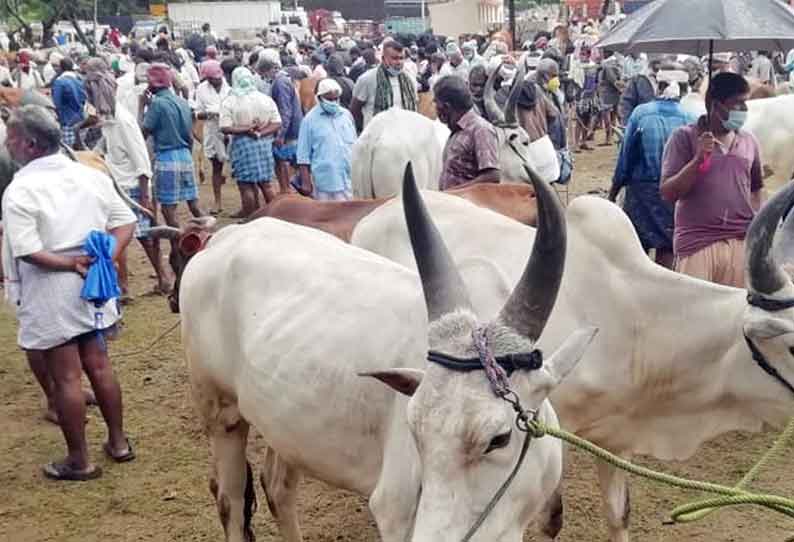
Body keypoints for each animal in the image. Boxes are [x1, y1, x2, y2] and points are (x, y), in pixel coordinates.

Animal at [178, 169, 592, 540]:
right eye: (414, 430)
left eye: (500, 438)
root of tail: (224, 237)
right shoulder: (394, 510)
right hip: (219, 412)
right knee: (230, 500)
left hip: (284, 424)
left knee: (278, 487)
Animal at [350, 175, 792, 542]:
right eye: (790, 346)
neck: (633, 314)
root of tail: (375, 213)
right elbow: (551, 519)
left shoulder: (615, 437)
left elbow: (619, 513)